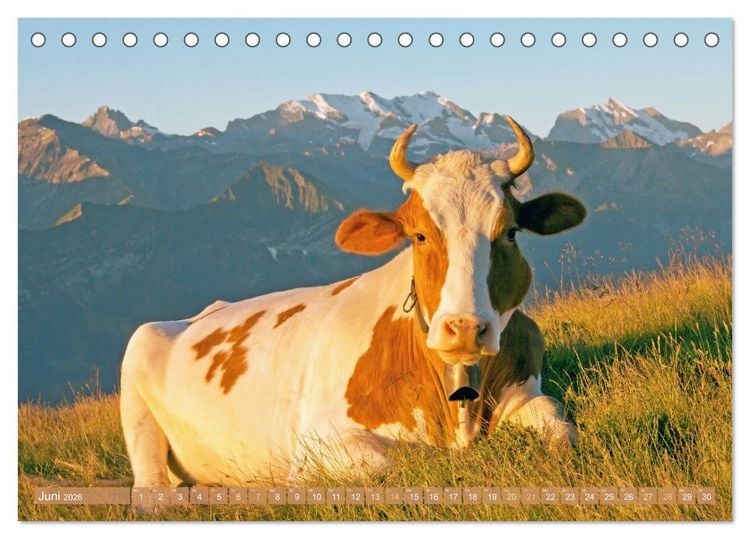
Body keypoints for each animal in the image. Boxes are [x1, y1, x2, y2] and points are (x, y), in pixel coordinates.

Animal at [120, 117, 586, 487]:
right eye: (418, 235)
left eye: (510, 232)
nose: (465, 328)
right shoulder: (316, 445)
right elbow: (401, 461)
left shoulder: (526, 393)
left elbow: (561, 426)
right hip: (137, 383)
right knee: (150, 486)